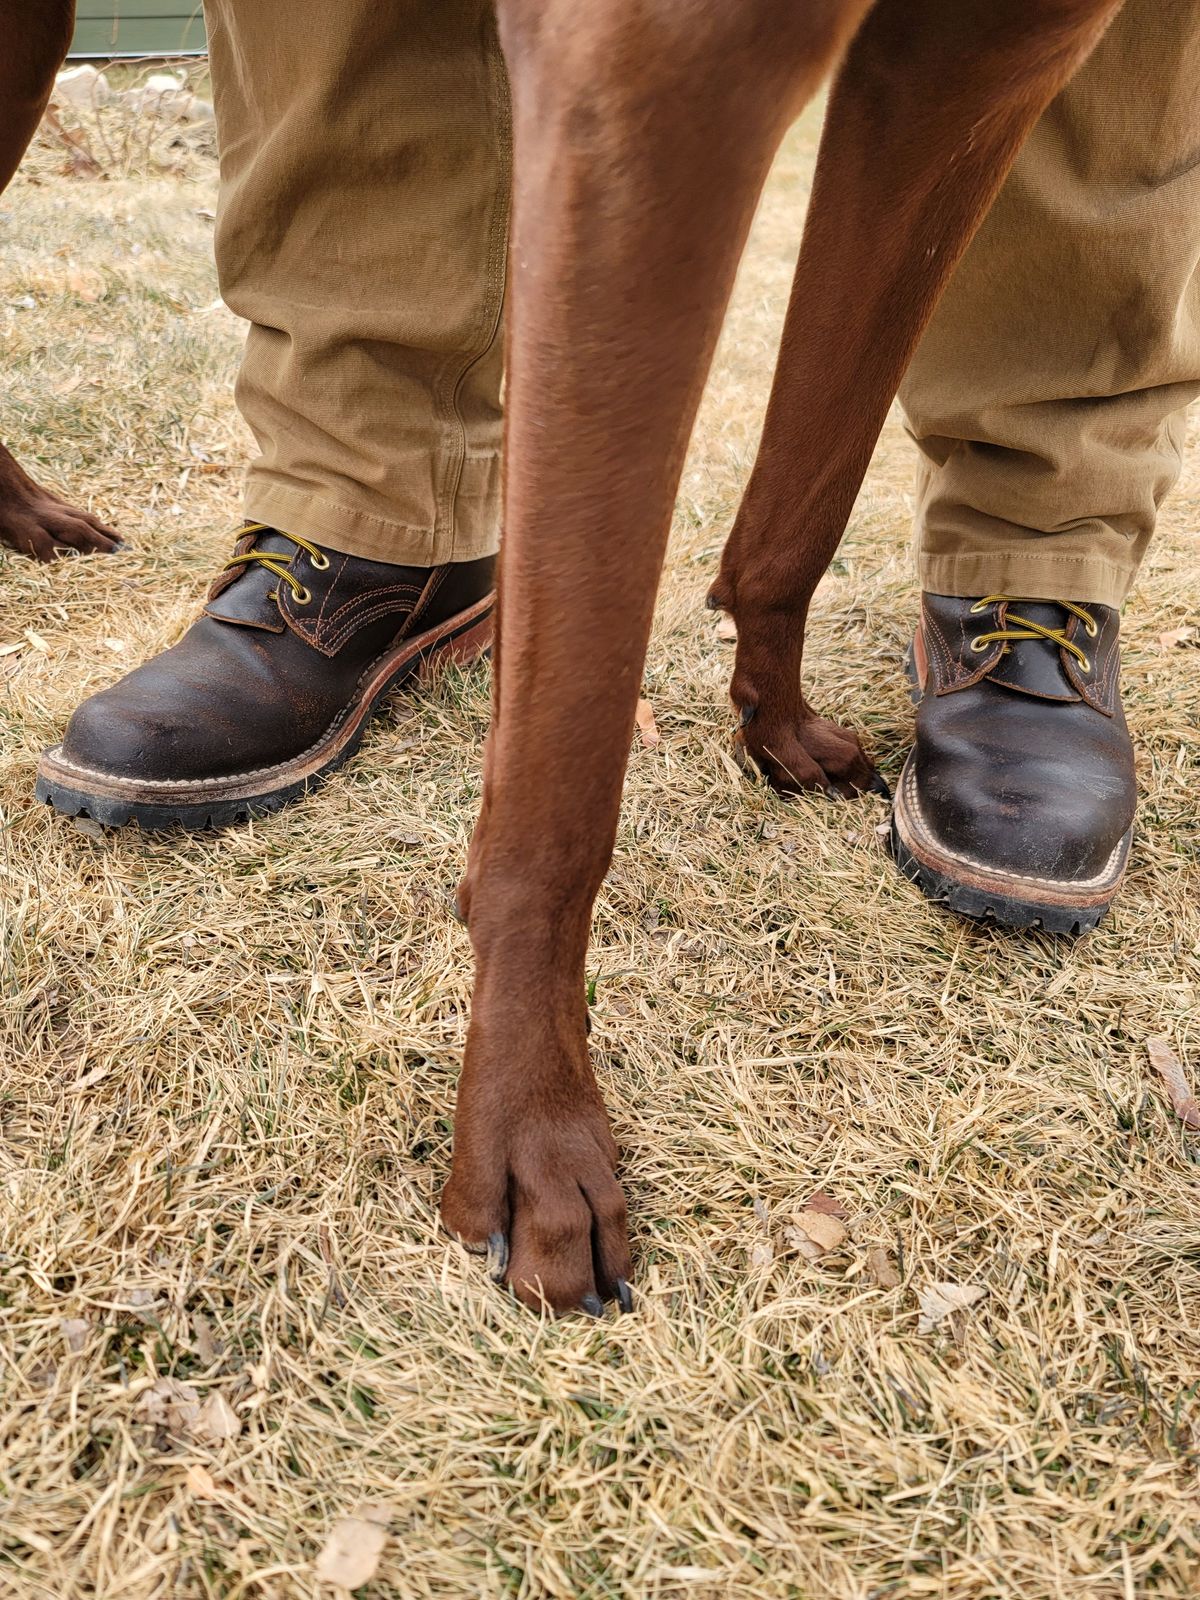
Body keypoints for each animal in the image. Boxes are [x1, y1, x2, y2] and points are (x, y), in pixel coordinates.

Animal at [444, 0, 1126, 1312]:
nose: (778, 715)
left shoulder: (969, 77)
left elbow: (820, 468)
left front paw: (774, 714)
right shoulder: (654, 83)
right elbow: (565, 755)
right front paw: (535, 1121)